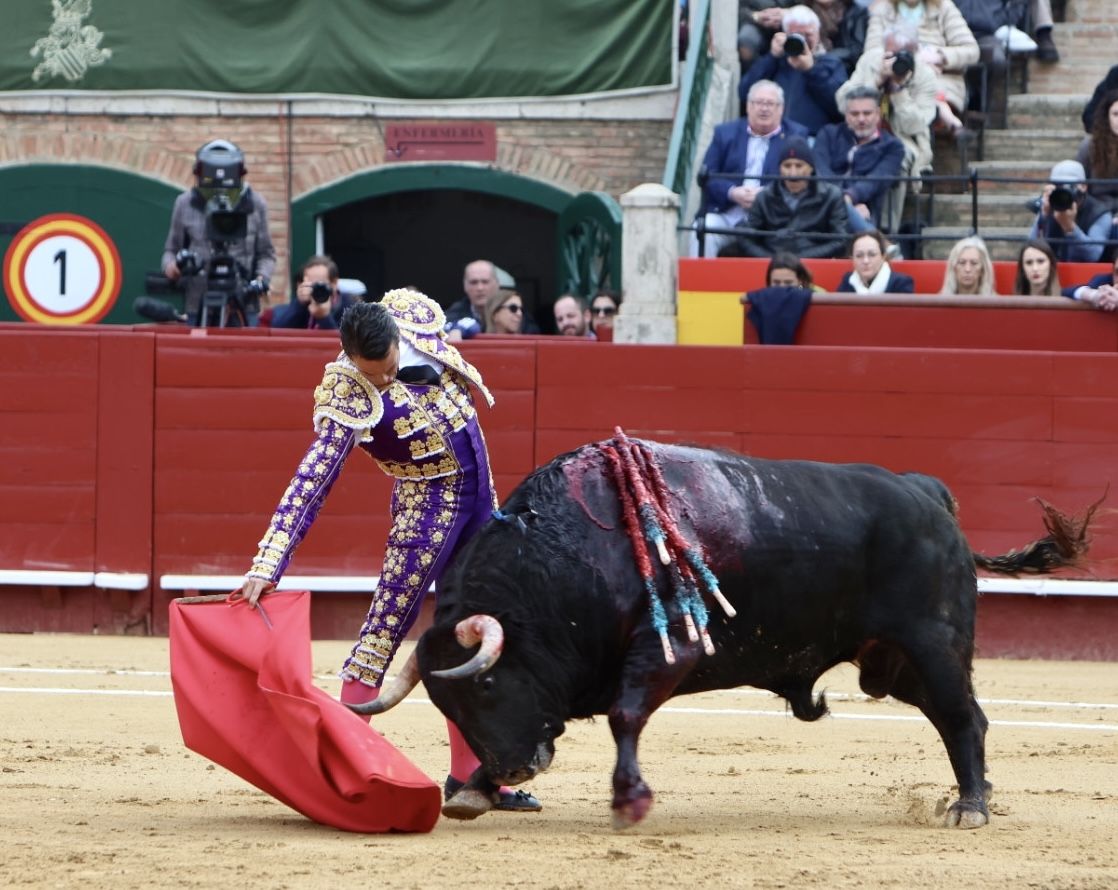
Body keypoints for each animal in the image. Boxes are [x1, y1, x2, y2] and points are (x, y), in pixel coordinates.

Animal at [353, 440, 1095, 831]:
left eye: (486, 686)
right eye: (451, 705)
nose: (511, 770)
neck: (563, 562)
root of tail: (926, 493)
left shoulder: (667, 652)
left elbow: (626, 715)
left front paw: (629, 801)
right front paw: (473, 790)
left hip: (933, 646)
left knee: (962, 718)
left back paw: (970, 807)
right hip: (893, 662)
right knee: (963, 717)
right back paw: (979, 797)